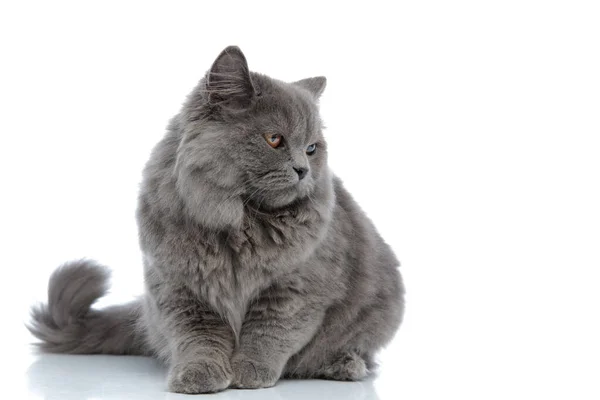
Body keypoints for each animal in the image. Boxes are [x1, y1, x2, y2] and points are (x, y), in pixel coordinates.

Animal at [27, 46, 404, 394]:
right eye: (274, 139)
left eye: (312, 148)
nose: (303, 169)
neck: (241, 221)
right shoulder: (181, 288)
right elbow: (200, 339)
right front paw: (199, 375)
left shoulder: (298, 287)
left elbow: (269, 332)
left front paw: (250, 372)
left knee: (353, 350)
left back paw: (344, 364)